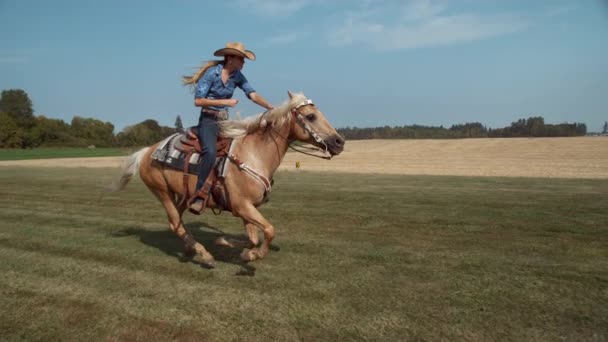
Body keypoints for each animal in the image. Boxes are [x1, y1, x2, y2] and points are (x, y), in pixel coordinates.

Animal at [111, 91, 344, 268]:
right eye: (311, 116)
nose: (339, 142)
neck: (254, 154)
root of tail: (147, 152)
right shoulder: (242, 206)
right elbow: (269, 231)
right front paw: (250, 255)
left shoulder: (248, 208)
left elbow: (252, 237)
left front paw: (224, 241)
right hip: (162, 192)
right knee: (175, 224)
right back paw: (205, 255)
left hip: (183, 196)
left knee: (177, 223)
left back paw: (190, 249)